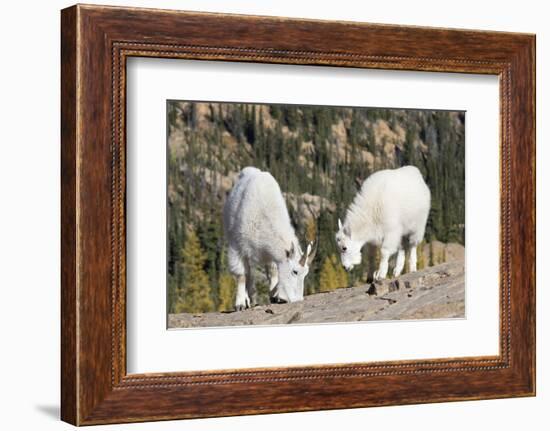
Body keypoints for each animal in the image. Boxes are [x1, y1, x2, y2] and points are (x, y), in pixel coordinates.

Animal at [223, 166, 316, 310]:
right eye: (295, 272)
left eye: (305, 273)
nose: (297, 300)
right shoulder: (237, 247)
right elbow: (240, 275)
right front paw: (240, 304)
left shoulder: (271, 254)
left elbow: (273, 272)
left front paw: (274, 296)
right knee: (247, 273)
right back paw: (247, 300)